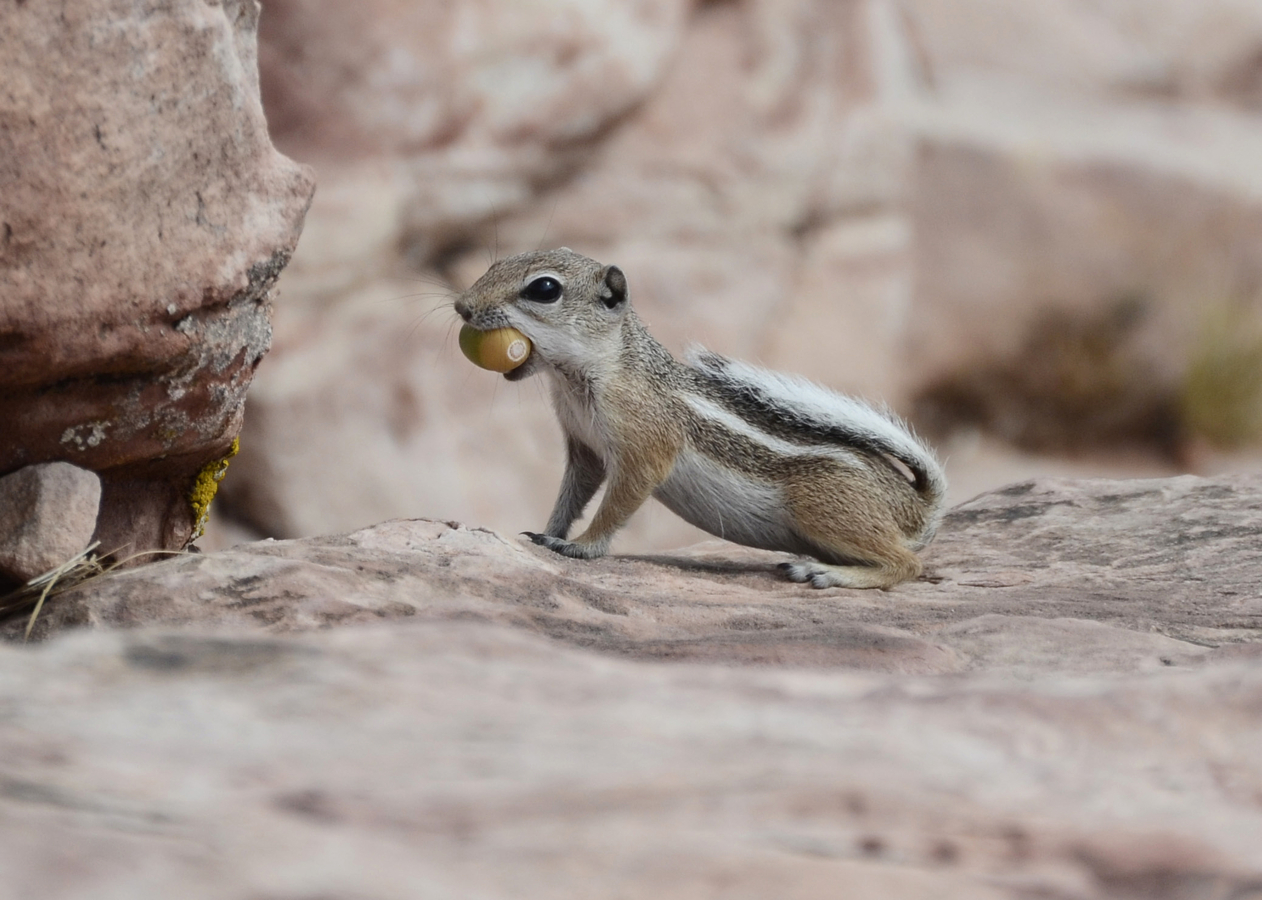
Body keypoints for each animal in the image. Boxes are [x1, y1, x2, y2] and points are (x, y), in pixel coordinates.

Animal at [456, 248, 949, 585]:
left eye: (544, 289)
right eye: (498, 263)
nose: (462, 306)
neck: (584, 375)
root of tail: (916, 506)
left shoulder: (645, 450)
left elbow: (616, 505)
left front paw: (579, 547)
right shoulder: (583, 447)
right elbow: (570, 495)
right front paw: (545, 533)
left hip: (824, 509)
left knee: (907, 564)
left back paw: (828, 574)